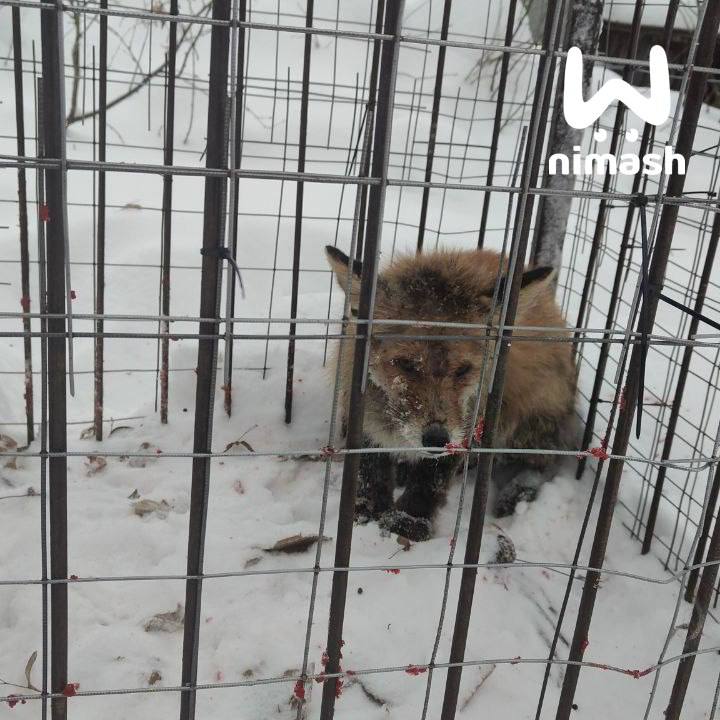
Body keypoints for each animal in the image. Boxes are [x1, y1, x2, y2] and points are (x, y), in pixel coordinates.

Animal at [326, 245, 578, 542]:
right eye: (406, 364)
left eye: (463, 370)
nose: (436, 439)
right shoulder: (362, 413)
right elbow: (369, 468)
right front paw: (366, 511)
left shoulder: (469, 421)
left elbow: (431, 478)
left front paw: (409, 520)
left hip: (530, 418)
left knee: (545, 461)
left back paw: (519, 490)